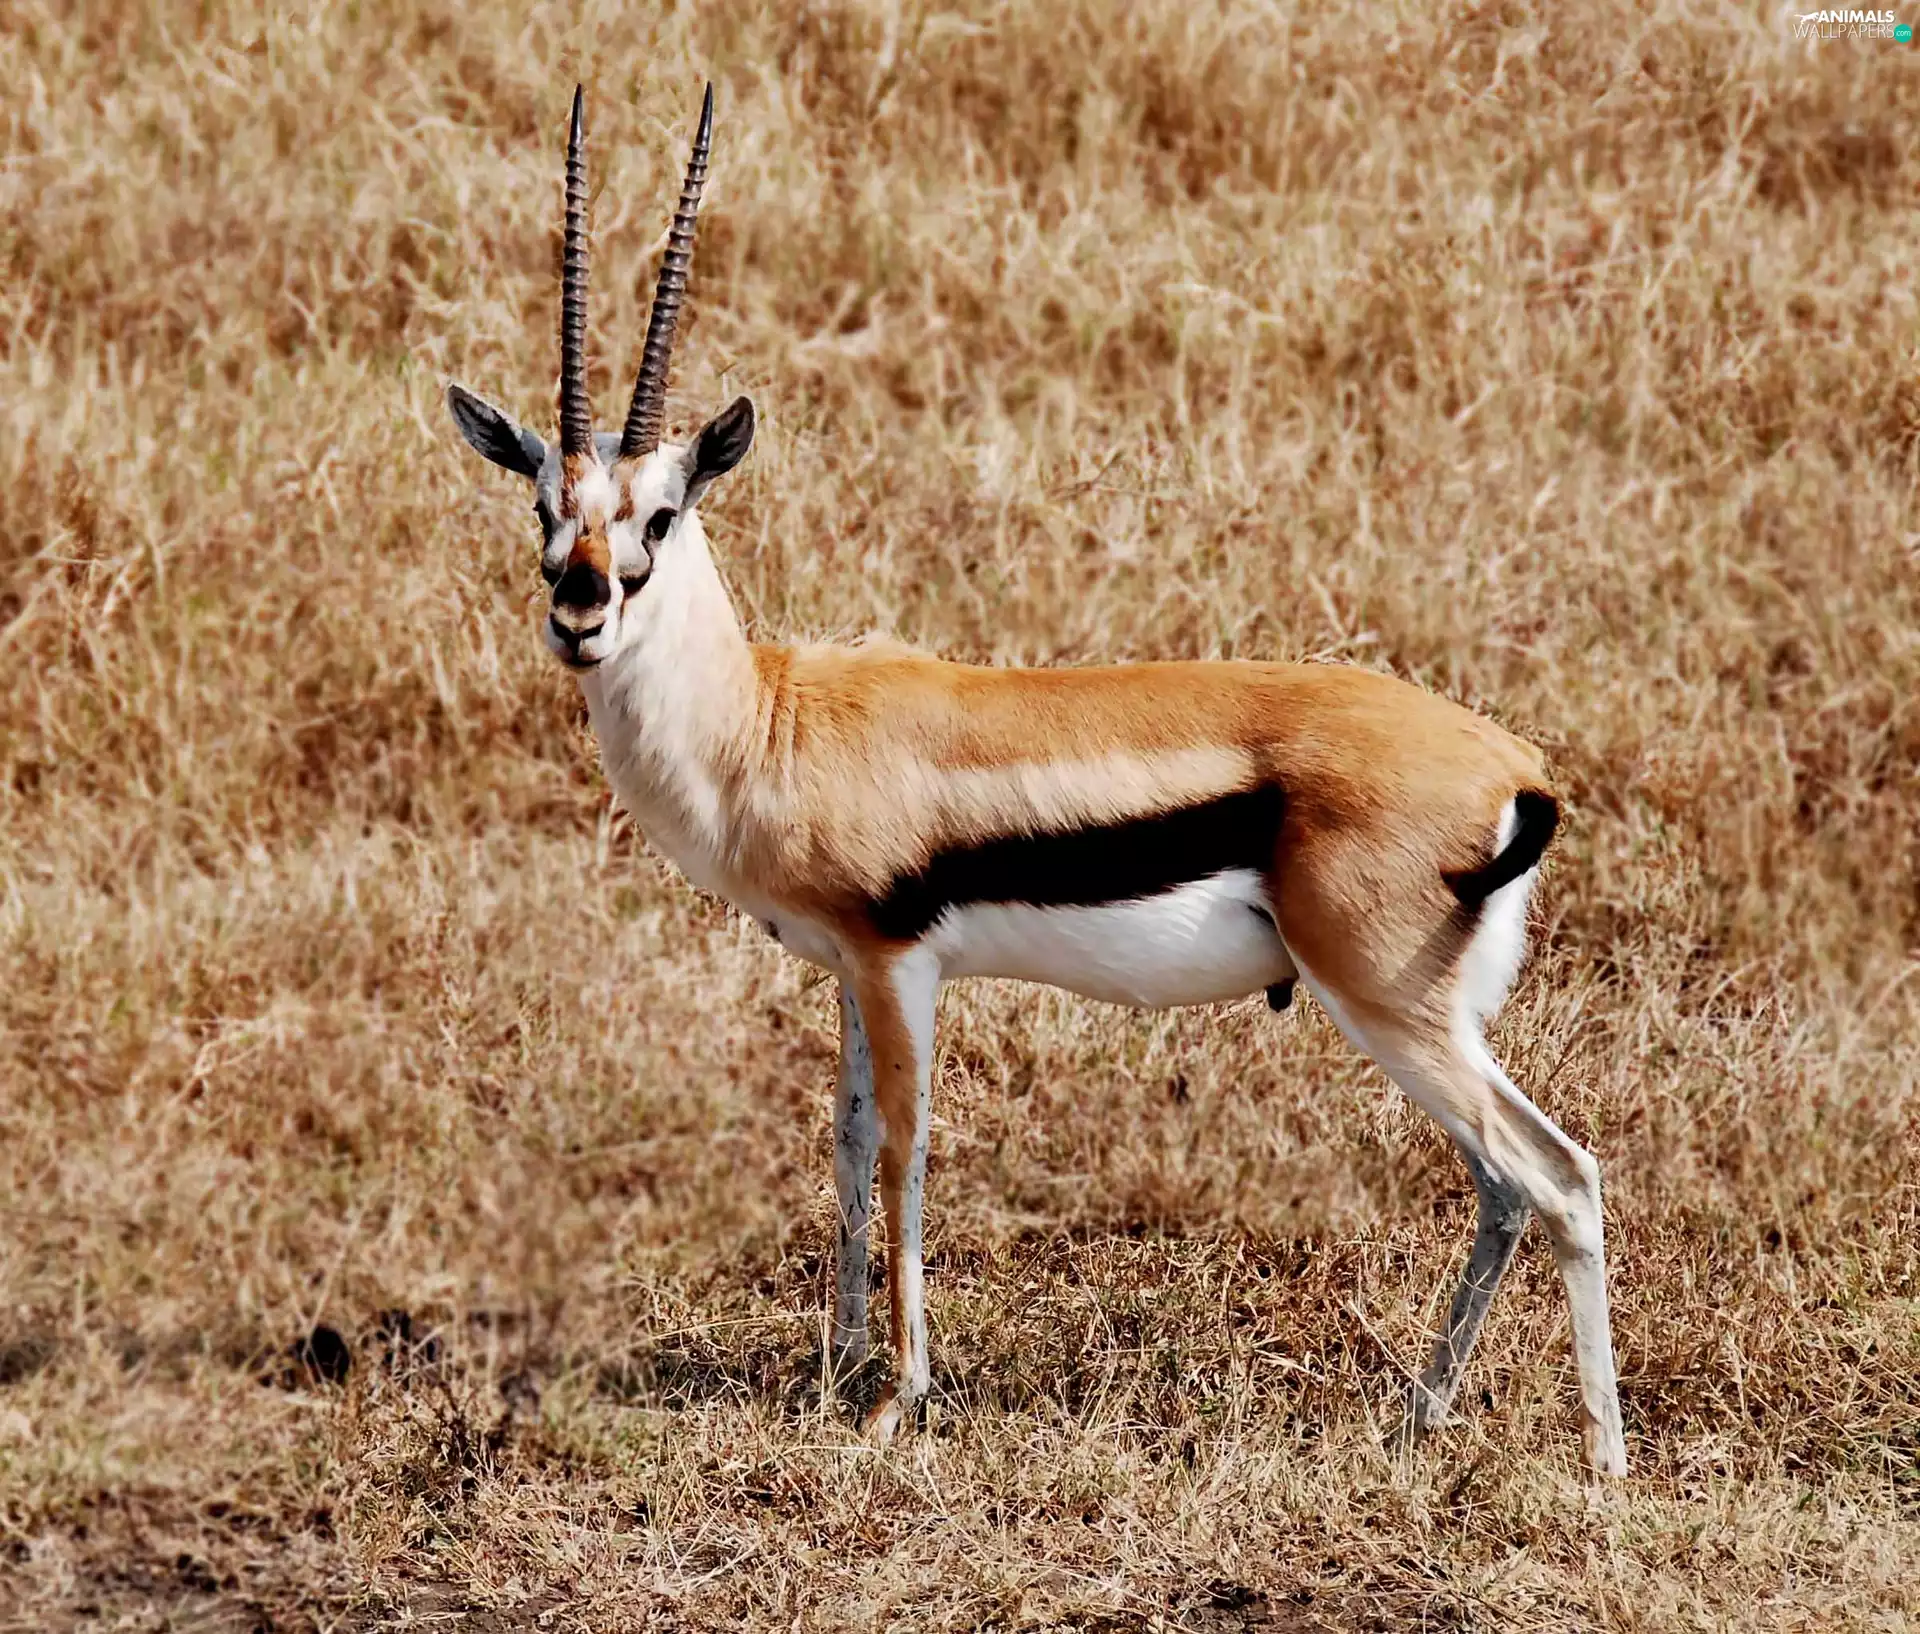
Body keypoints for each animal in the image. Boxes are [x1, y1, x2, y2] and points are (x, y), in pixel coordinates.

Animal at [445, 83, 1629, 1477]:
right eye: (542, 505)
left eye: (663, 514)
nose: (581, 611)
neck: (770, 719)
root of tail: (1516, 770)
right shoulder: (848, 969)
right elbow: (848, 1142)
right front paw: (834, 1368)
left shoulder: (899, 962)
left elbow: (907, 1150)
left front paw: (898, 1398)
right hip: (1431, 1017)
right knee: (1509, 1184)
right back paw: (1420, 1414)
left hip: (1389, 1004)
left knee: (1559, 1175)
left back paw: (1601, 1464)